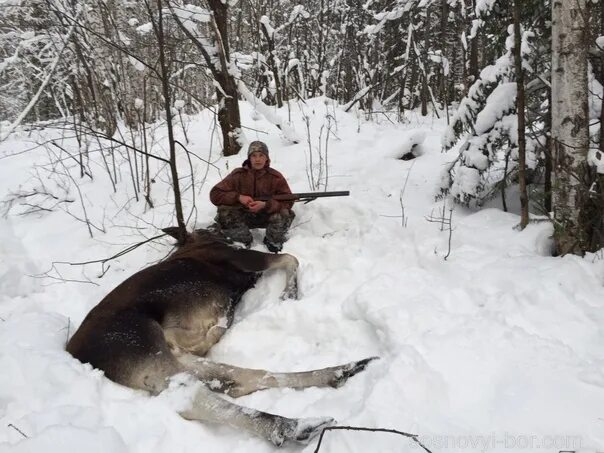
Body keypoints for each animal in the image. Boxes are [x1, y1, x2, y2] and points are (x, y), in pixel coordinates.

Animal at [67, 228, 378, 444]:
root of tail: (74, 352)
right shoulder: (241, 258)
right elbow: (291, 257)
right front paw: (288, 294)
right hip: (142, 346)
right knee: (195, 397)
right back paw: (294, 427)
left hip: (171, 354)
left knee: (243, 376)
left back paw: (341, 371)